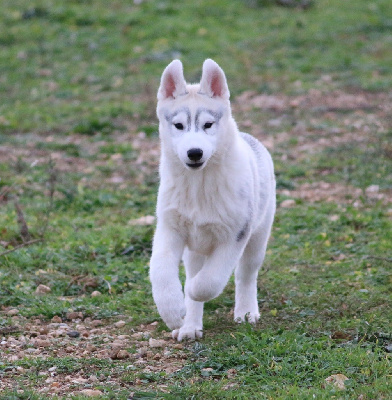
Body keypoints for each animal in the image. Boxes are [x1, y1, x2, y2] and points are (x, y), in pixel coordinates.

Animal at [149, 59, 276, 340]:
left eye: (208, 125)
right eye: (178, 126)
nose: (194, 153)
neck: (199, 186)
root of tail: (251, 139)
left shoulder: (235, 235)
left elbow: (209, 281)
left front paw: (192, 292)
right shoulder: (169, 228)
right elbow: (160, 270)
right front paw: (173, 310)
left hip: (258, 238)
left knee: (245, 274)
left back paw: (246, 312)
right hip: (194, 250)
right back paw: (190, 327)